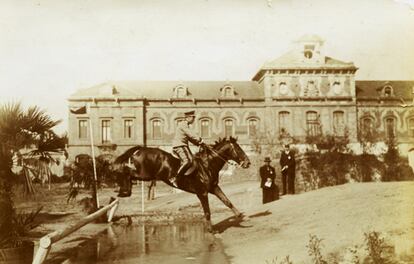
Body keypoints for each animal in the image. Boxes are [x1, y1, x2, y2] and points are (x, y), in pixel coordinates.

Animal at [115, 137, 252, 232]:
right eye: (238, 149)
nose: (248, 163)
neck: (207, 165)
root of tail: (140, 149)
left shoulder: (213, 188)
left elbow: (227, 201)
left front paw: (240, 215)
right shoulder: (202, 192)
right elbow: (207, 211)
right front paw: (210, 229)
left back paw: (123, 191)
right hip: (144, 174)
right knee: (127, 172)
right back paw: (122, 191)